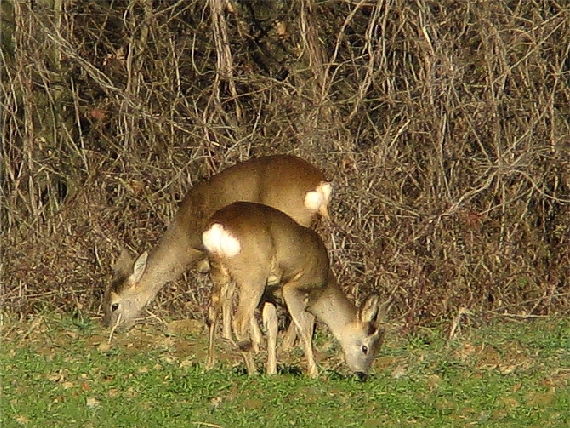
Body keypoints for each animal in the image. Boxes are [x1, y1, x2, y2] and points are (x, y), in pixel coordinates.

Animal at [104, 155, 330, 350]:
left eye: (114, 305)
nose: (111, 329)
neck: (185, 238)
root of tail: (319, 184)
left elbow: (228, 294)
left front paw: (238, 337)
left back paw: (287, 343)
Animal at [202, 201, 384, 378]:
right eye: (365, 348)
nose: (362, 374)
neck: (323, 288)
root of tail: (218, 227)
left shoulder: (269, 294)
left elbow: (272, 329)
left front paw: (272, 371)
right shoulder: (294, 288)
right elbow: (304, 329)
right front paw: (314, 373)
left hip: (218, 272)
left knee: (211, 314)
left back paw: (210, 364)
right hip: (252, 277)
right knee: (239, 321)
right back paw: (252, 371)